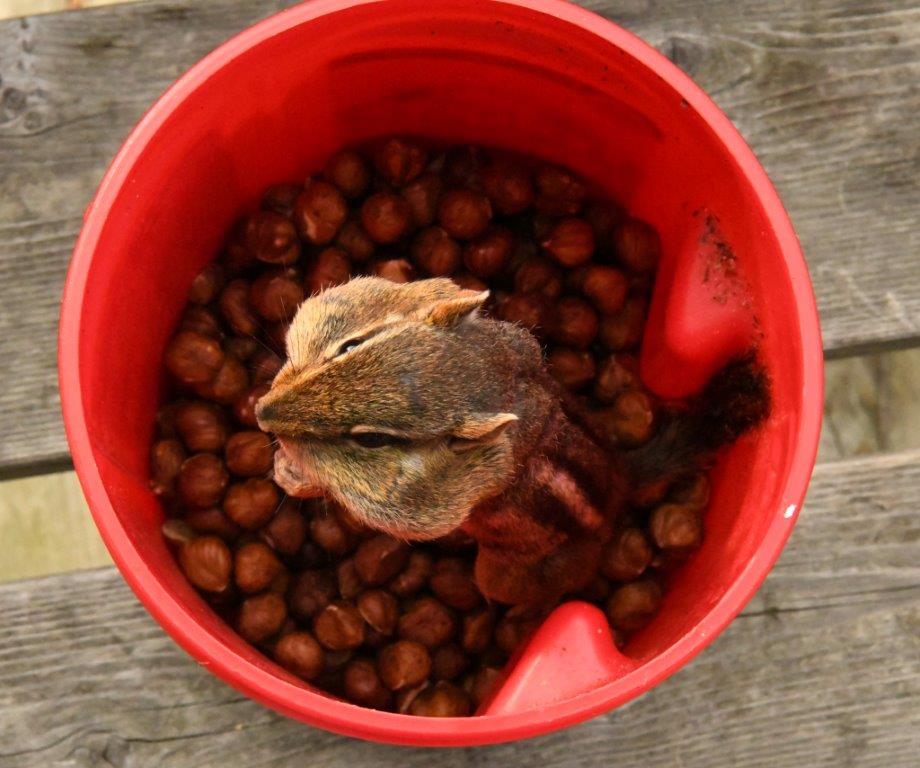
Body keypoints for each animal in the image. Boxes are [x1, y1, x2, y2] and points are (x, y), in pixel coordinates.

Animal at [255, 276, 770, 606]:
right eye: (351, 346)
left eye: (373, 440)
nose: (262, 414)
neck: (486, 377)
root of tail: (623, 478)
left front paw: (292, 473)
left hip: (509, 574)